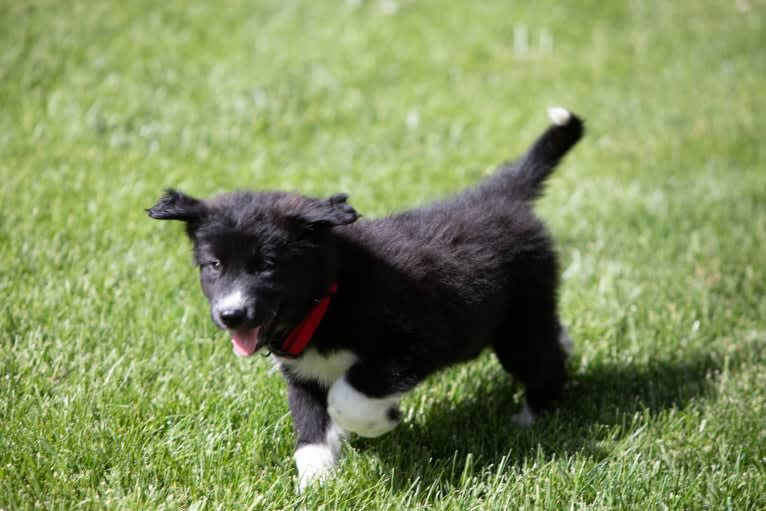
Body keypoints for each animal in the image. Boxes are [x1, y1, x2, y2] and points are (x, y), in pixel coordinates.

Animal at [147, 106, 584, 490]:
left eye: (266, 266)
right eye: (215, 265)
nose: (231, 315)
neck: (327, 299)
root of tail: (501, 195)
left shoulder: (415, 341)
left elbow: (349, 395)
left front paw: (378, 421)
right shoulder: (302, 376)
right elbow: (310, 432)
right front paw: (317, 483)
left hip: (519, 323)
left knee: (543, 360)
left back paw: (532, 418)